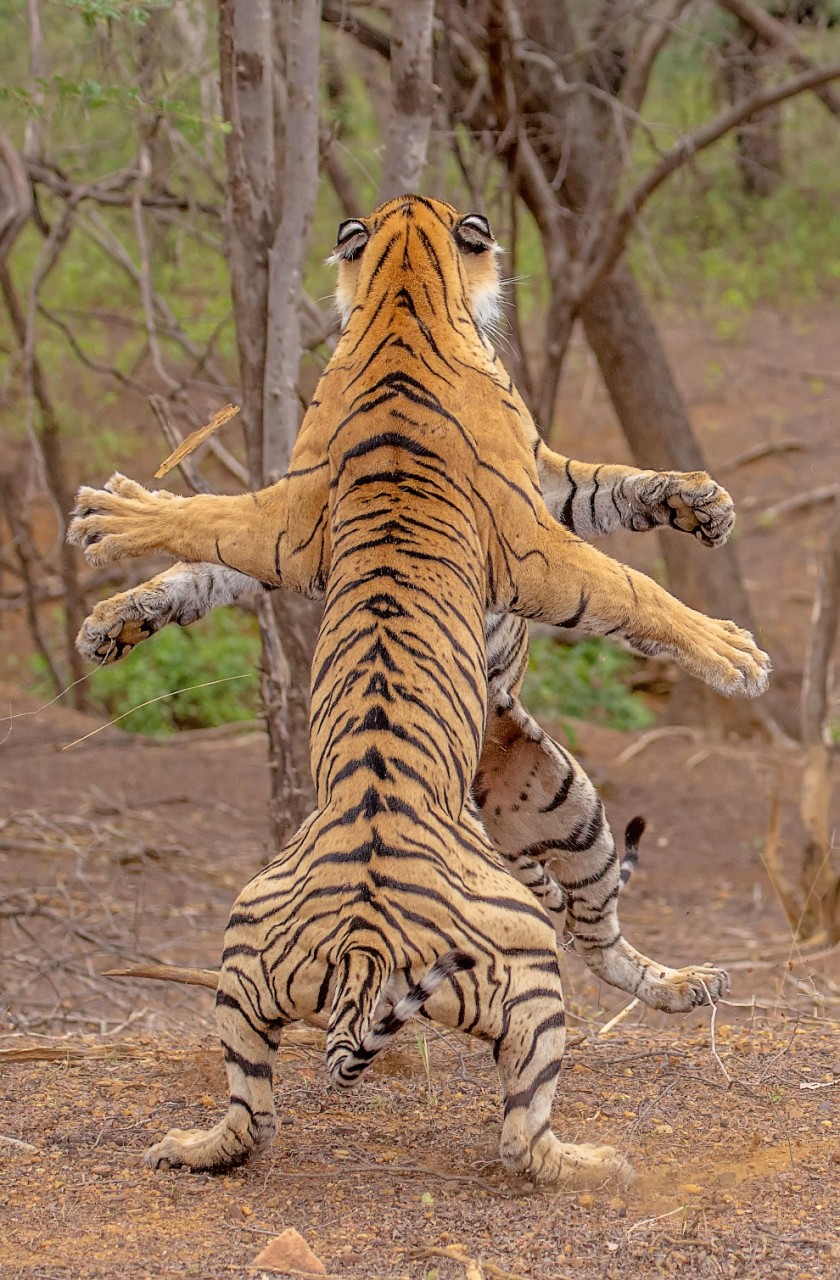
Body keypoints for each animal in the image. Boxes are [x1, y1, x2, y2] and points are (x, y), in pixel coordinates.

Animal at [70, 194, 768, 1182]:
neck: (402, 293)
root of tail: (366, 945)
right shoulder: (520, 532)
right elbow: (631, 588)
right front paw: (735, 652)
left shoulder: (441, 503)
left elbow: (614, 488)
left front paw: (697, 501)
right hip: (520, 940)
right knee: (524, 1124)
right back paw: (601, 1163)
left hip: (527, 831)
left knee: (590, 942)